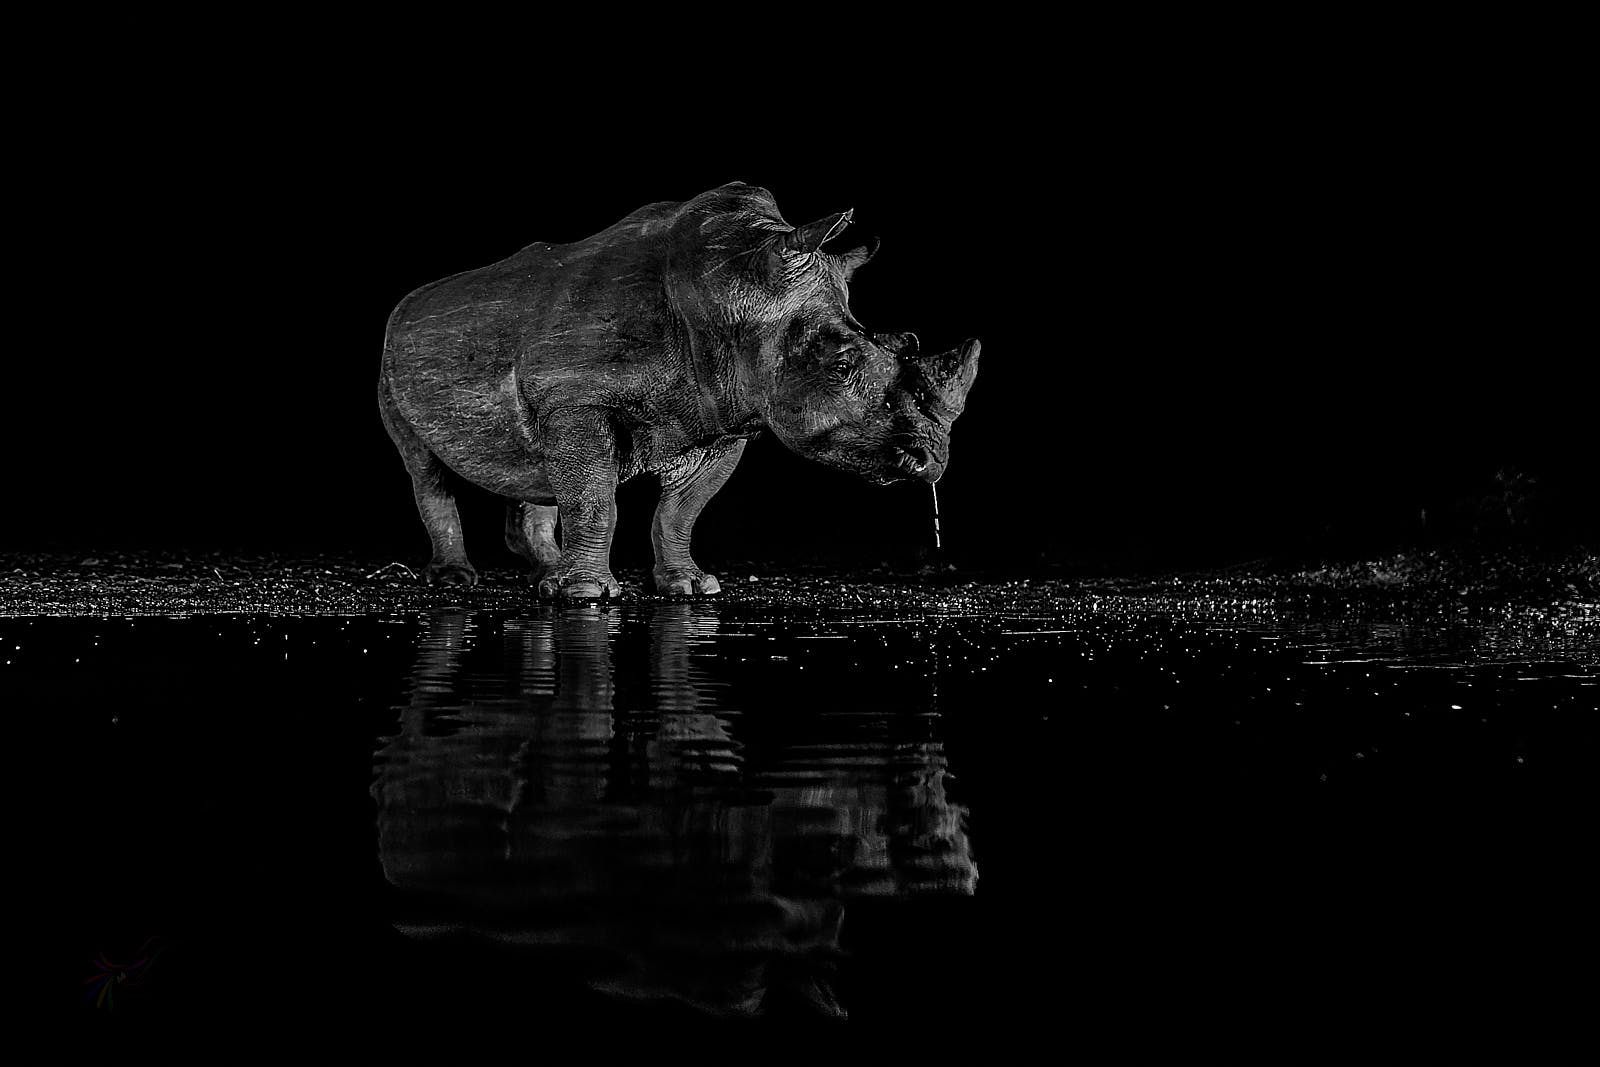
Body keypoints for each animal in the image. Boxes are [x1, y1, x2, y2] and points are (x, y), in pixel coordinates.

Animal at [379, 182, 981, 599]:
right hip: (390, 360)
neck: (731, 291)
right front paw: (585, 595)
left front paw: (689, 587)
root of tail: (409, 302)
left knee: (530, 463)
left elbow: (681, 510)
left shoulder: (727, 413)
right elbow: (594, 498)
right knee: (423, 466)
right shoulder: (574, 400)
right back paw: (456, 580)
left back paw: (545, 573)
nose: (931, 461)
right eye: (842, 364)